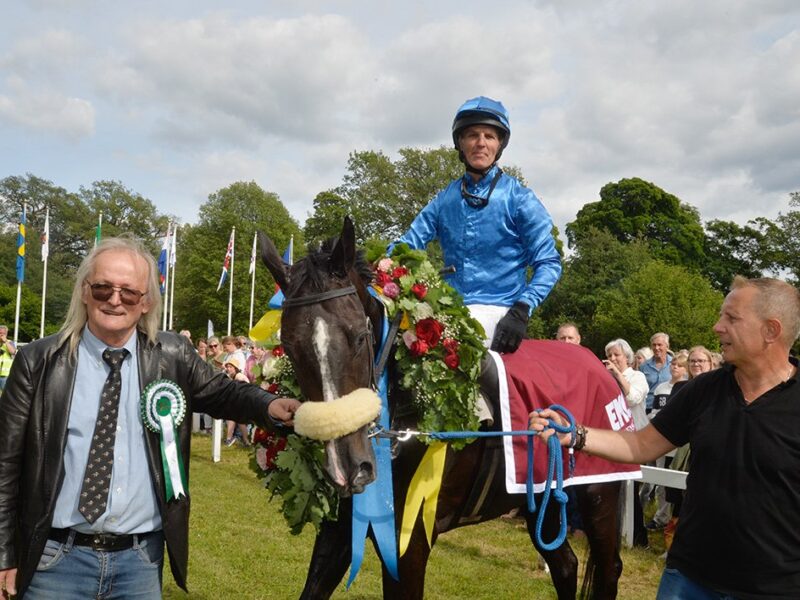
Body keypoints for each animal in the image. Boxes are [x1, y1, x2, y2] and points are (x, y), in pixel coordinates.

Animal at [260, 219, 624, 600]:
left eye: (359, 336)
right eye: (289, 346)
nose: (347, 467)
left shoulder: (410, 541)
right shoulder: (340, 527)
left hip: (600, 495)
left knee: (608, 569)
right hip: (544, 498)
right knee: (565, 564)